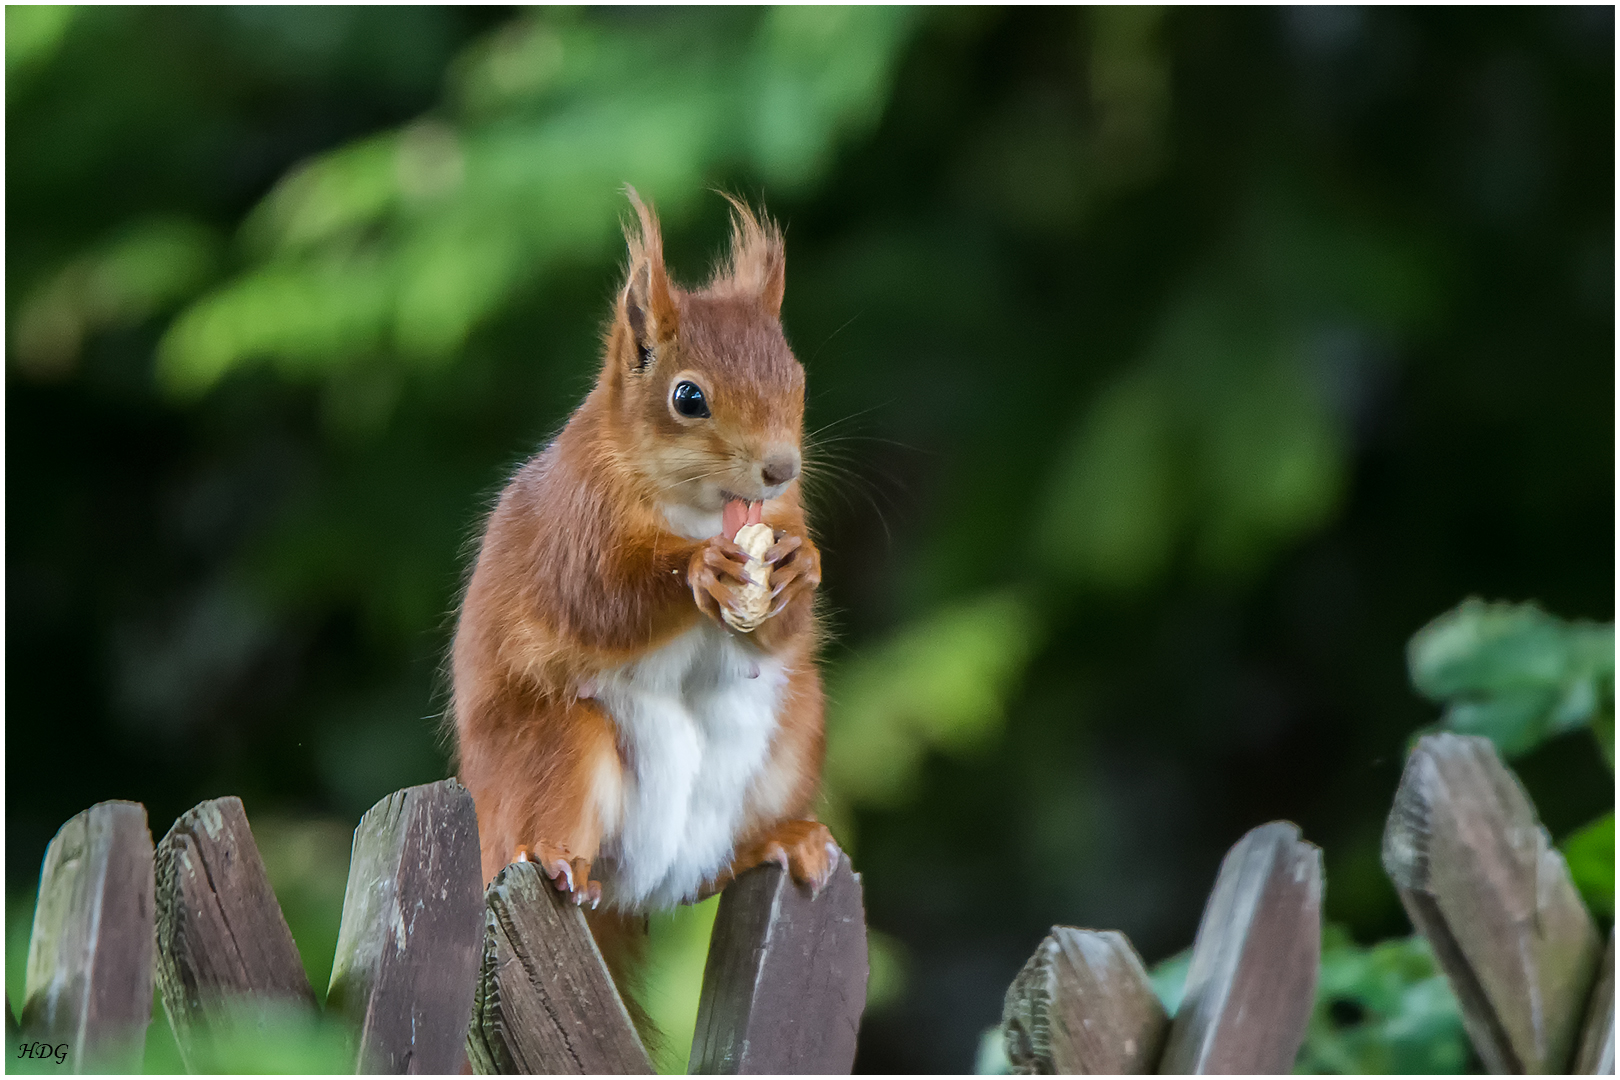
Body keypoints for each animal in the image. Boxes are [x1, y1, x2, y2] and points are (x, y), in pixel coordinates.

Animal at [453, 190, 835, 919]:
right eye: (688, 397)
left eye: (800, 378)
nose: (781, 469)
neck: (699, 512)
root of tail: (641, 893)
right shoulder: (574, 525)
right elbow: (601, 600)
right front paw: (700, 571)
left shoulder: (784, 514)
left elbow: (777, 629)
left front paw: (800, 570)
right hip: (552, 754)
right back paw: (558, 862)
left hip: (793, 731)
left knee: (711, 874)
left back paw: (781, 841)